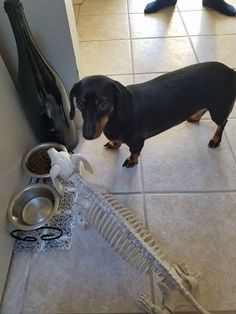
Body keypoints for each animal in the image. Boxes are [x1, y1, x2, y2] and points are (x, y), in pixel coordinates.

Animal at [69, 62, 235, 168]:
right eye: (80, 103)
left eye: (103, 104)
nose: (87, 135)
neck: (114, 120)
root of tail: (231, 71)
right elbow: (117, 142)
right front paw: (114, 144)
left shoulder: (137, 142)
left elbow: (134, 152)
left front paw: (131, 161)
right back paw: (195, 117)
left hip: (218, 111)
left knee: (223, 122)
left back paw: (216, 139)